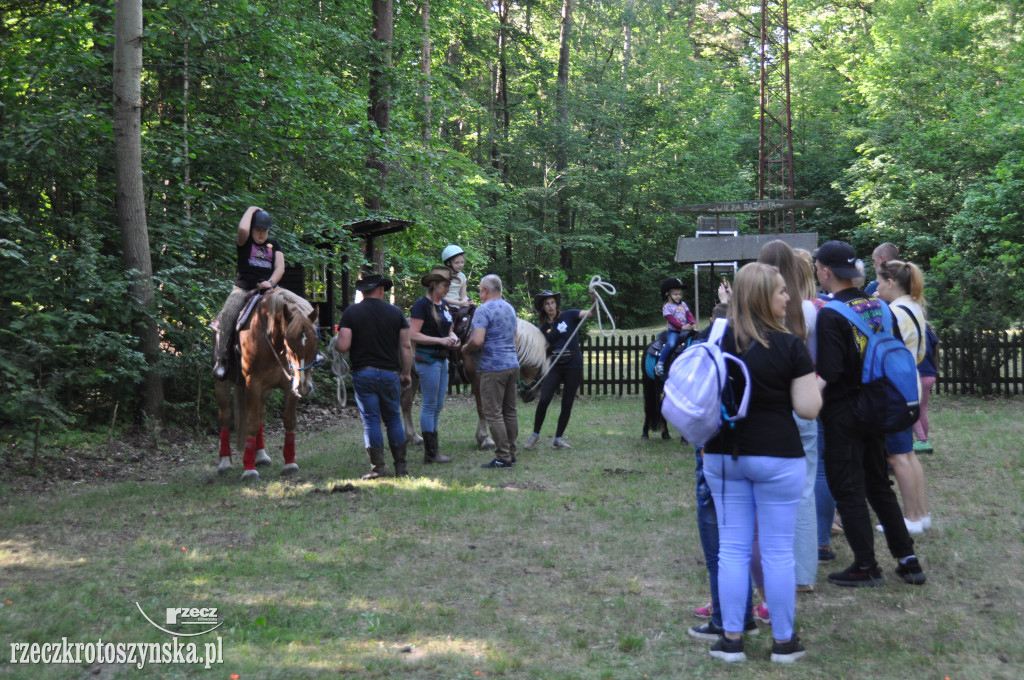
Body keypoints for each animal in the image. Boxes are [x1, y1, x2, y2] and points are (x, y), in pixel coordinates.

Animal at [211, 288, 315, 481]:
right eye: (289, 342)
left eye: (315, 343)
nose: (304, 387)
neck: (272, 340)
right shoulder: (253, 383)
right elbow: (250, 424)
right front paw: (249, 470)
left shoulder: (290, 386)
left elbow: (289, 421)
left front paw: (290, 464)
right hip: (222, 384)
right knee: (225, 417)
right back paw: (225, 462)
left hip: (265, 391)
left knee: (259, 414)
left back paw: (260, 456)